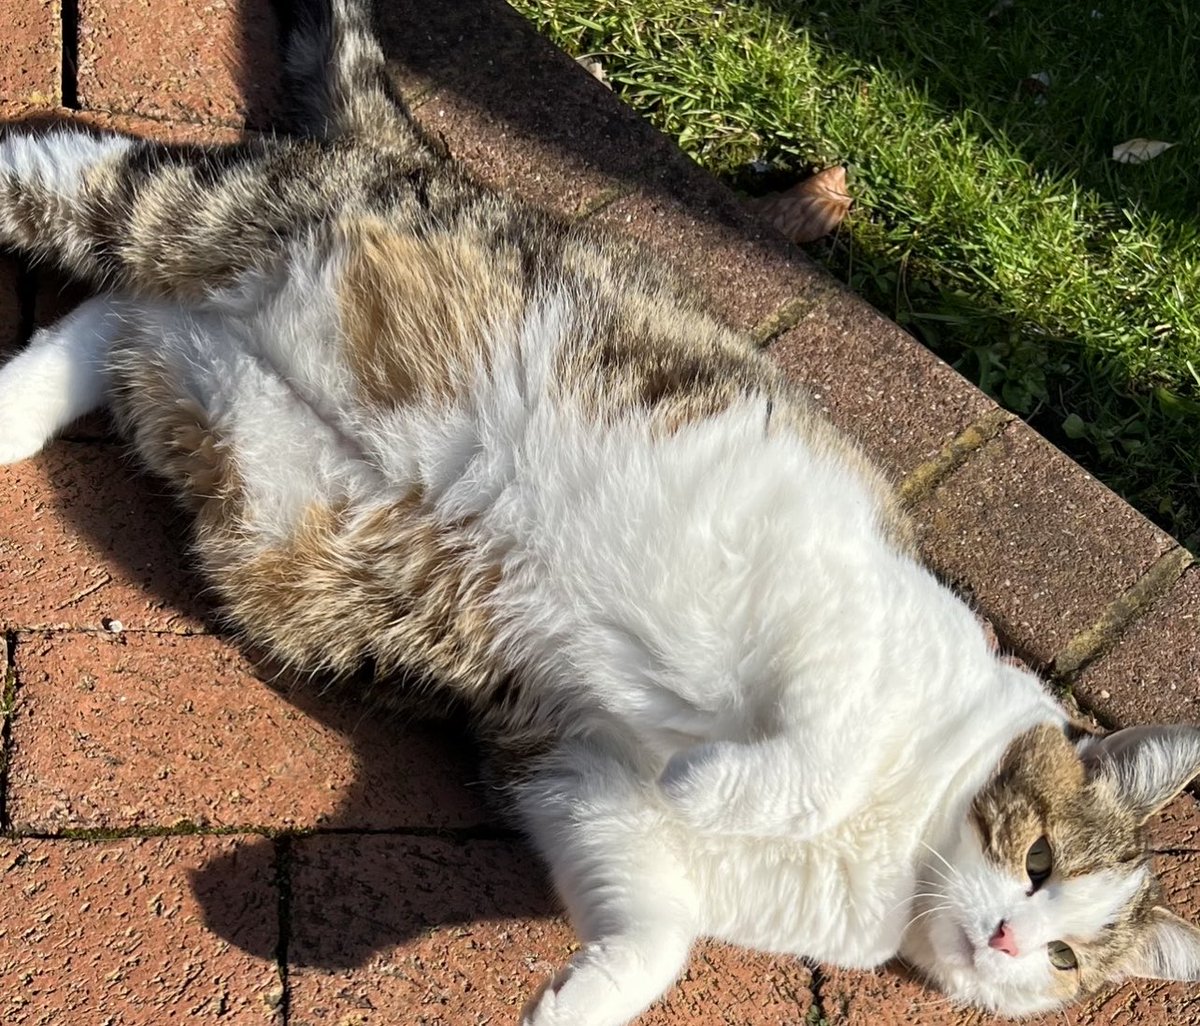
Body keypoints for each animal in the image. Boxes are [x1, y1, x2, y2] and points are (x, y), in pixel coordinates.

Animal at [2, 2, 1200, 1026]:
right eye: (1038, 860)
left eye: (1065, 959)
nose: (1006, 940)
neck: (898, 850)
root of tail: (417, 155)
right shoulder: (843, 613)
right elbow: (809, 759)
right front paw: (713, 776)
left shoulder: (587, 781)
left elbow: (652, 930)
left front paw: (577, 998)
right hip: (218, 226)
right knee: (75, 182)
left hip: (226, 417)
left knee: (118, 318)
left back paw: (13, 410)